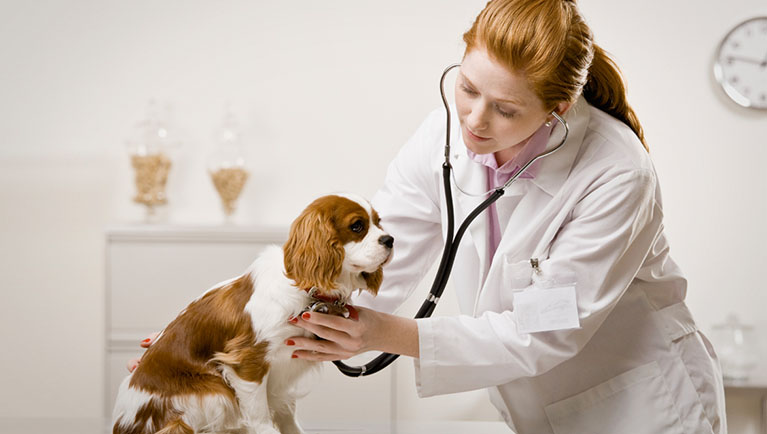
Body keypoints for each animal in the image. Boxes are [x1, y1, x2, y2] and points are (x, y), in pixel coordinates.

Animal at [112, 194, 393, 434]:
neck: (306, 289)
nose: (390, 239)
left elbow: (286, 412)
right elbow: (260, 415)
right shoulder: (248, 360)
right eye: (357, 226)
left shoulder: (283, 375)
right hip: (213, 391)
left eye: (379, 223)